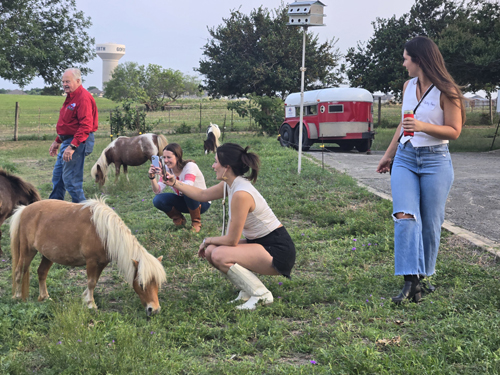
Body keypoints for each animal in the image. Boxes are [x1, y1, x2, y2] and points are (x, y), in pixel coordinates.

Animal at [9, 198, 167, 316]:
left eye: (158, 284)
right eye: (141, 284)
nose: (154, 309)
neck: (104, 232)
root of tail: (24, 210)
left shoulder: (101, 263)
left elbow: (95, 281)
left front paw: (85, 298)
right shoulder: (91, 261)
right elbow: (91, 282)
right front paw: (91, 304)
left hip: (48, 255)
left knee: (41, 273)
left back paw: (45, 297)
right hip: (27, 251)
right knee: (19, 271)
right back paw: (17, 297)